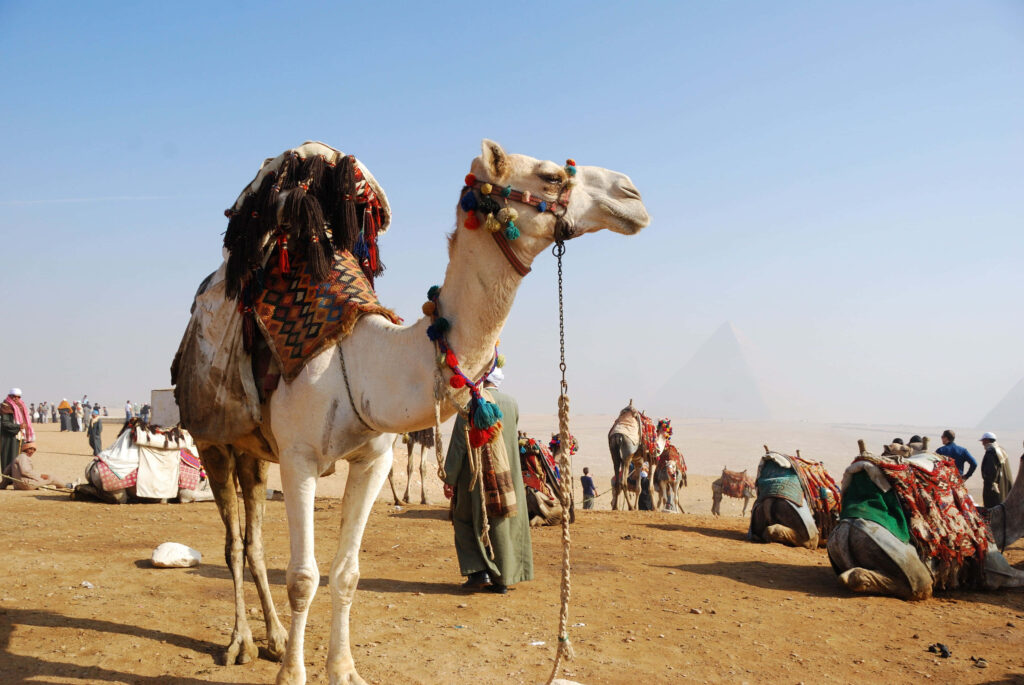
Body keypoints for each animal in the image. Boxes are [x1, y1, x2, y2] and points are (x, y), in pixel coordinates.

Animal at [172, 140, 649, 684]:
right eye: (550, 175)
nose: (632, 194)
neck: (362, 359)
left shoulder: (372, 459)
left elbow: (347, 573)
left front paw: (344, 670)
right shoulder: (298, 460)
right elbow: (302, 577)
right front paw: (294, 675)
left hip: (254, 450)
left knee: (252, 541)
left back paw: (271, 639)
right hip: (212, 438)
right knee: (234, 544)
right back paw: (241, 645)